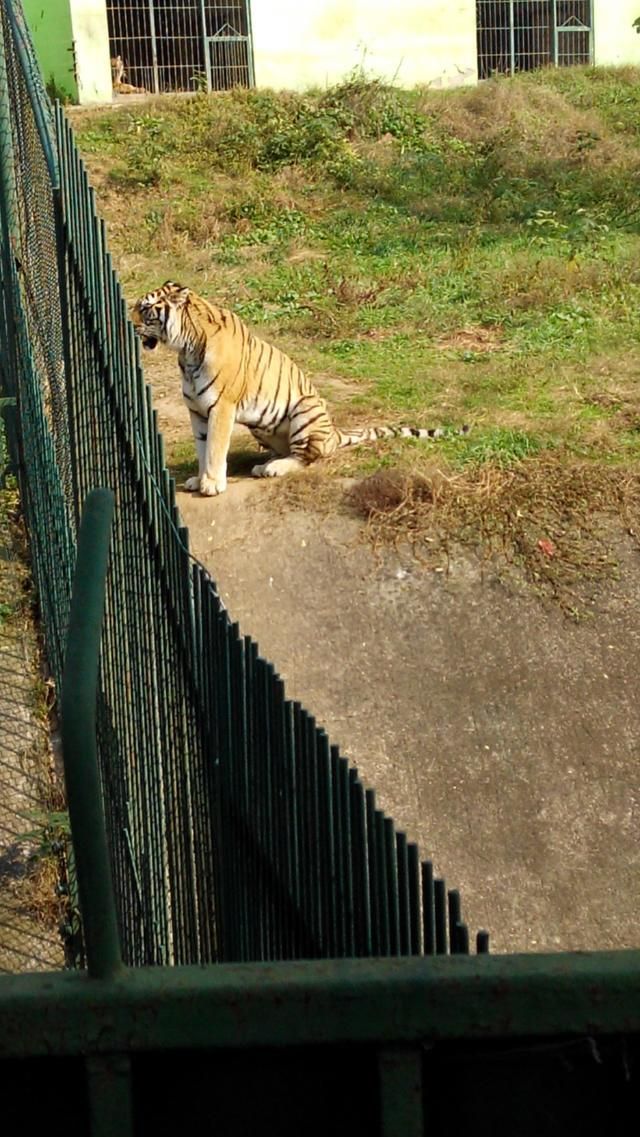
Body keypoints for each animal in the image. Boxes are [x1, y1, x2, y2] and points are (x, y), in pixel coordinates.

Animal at [131, 277, 470, 495]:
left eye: (145, 309)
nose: (128, 323)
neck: (185, 350)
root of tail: (333, 432)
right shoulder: (197, 411)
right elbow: (203, 448)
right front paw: (198, 479)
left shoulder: (221, 407)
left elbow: (214, 448)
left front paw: (212, 484)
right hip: (262, 426)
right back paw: (265, 463)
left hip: (304, 409)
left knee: (309, 457)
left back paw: (274, 468)